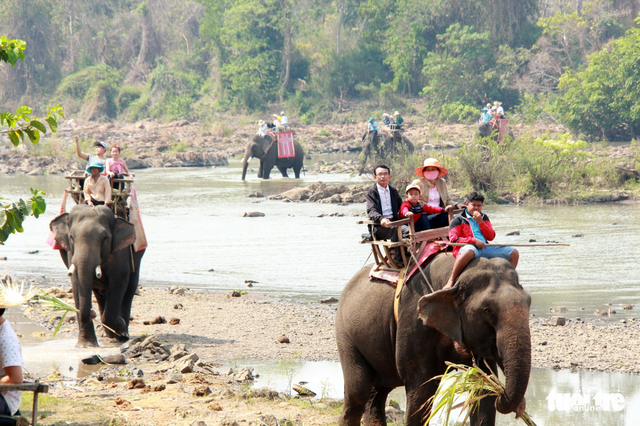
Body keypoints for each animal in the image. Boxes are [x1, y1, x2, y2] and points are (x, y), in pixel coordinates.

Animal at [50, 205, 145, 348]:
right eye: (71, 237)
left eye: (105, 238)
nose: (92, 313)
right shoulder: (71, 253)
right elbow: (76, 284)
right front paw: (86, 345)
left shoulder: (120, 253)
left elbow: (118, 284)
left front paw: (120, 328)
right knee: (100, 294)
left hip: (137, 254)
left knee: (129, 288)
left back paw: (123, 334)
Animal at [336, 255, 528, 424]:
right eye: (487, 310)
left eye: (529, 301)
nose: (518, 410)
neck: (455, 277)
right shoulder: (414, 324)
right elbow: (421, 393)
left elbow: (482, 389)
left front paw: (495, 391)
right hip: (346, 335)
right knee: (357, 393)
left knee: (377, 393)